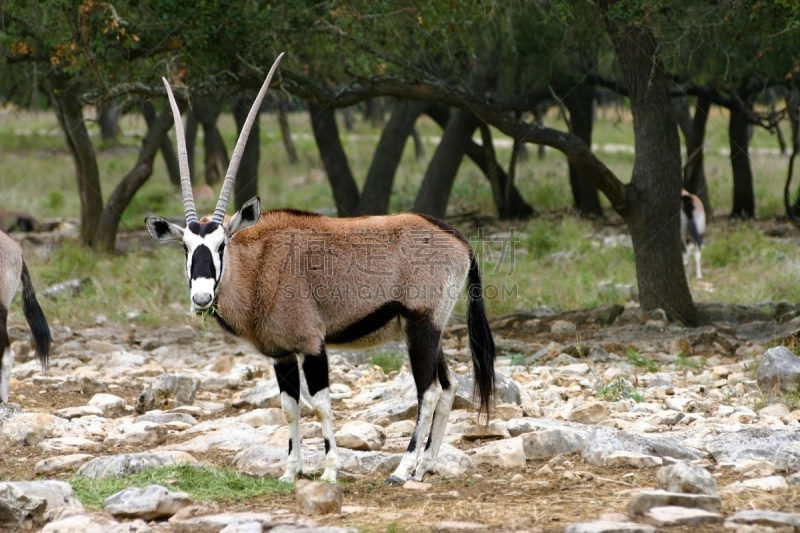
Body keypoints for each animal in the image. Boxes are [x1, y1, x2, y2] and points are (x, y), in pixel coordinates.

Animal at [144, 55, 494, 486]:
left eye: (222, 244)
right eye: (186, 248)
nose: (202, 296)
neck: (261, 266)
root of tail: (458, 241)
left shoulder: (313, 346)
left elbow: (322, 404)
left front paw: (329, 470)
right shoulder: (280, 355)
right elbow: (290, 407)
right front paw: (290, 471)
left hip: (422, 326)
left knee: (427, 391)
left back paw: (402, 468)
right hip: (429, 329)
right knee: (447, 387)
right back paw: (425, 466)